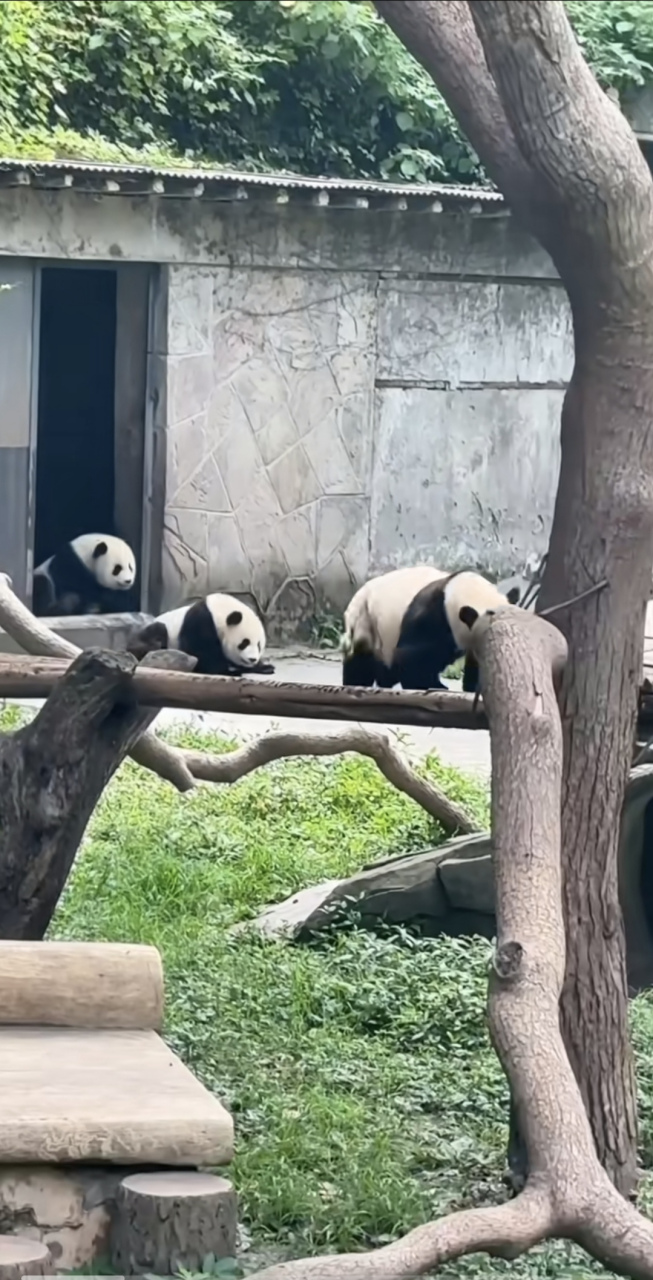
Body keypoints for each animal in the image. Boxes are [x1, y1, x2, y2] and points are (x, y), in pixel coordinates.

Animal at [126, 591, 275, 680]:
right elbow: (202, 651)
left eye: (259, 645)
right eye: (244, 643)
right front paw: (229, 671)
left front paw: (265, 667)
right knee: (156, 636)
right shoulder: (201, 621)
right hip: (151, 635)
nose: (252, 659)